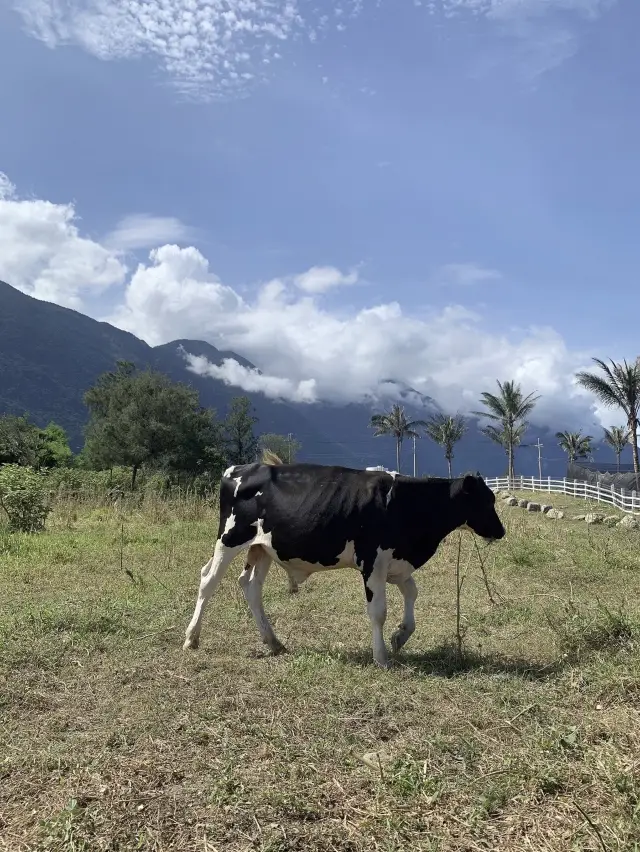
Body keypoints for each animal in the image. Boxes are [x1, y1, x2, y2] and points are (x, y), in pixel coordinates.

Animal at [184, 460, 504, 664]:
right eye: (486, 501)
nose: (501, 531)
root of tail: (241, 468)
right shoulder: (372, 562)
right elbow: (378, 611)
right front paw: (381, 657)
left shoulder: (396, 563)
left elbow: (412, 593)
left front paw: (400, 636)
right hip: (230, 538)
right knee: (208, 580)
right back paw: (191, 638)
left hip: (261, 548)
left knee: (251, 586)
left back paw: (273, 642)